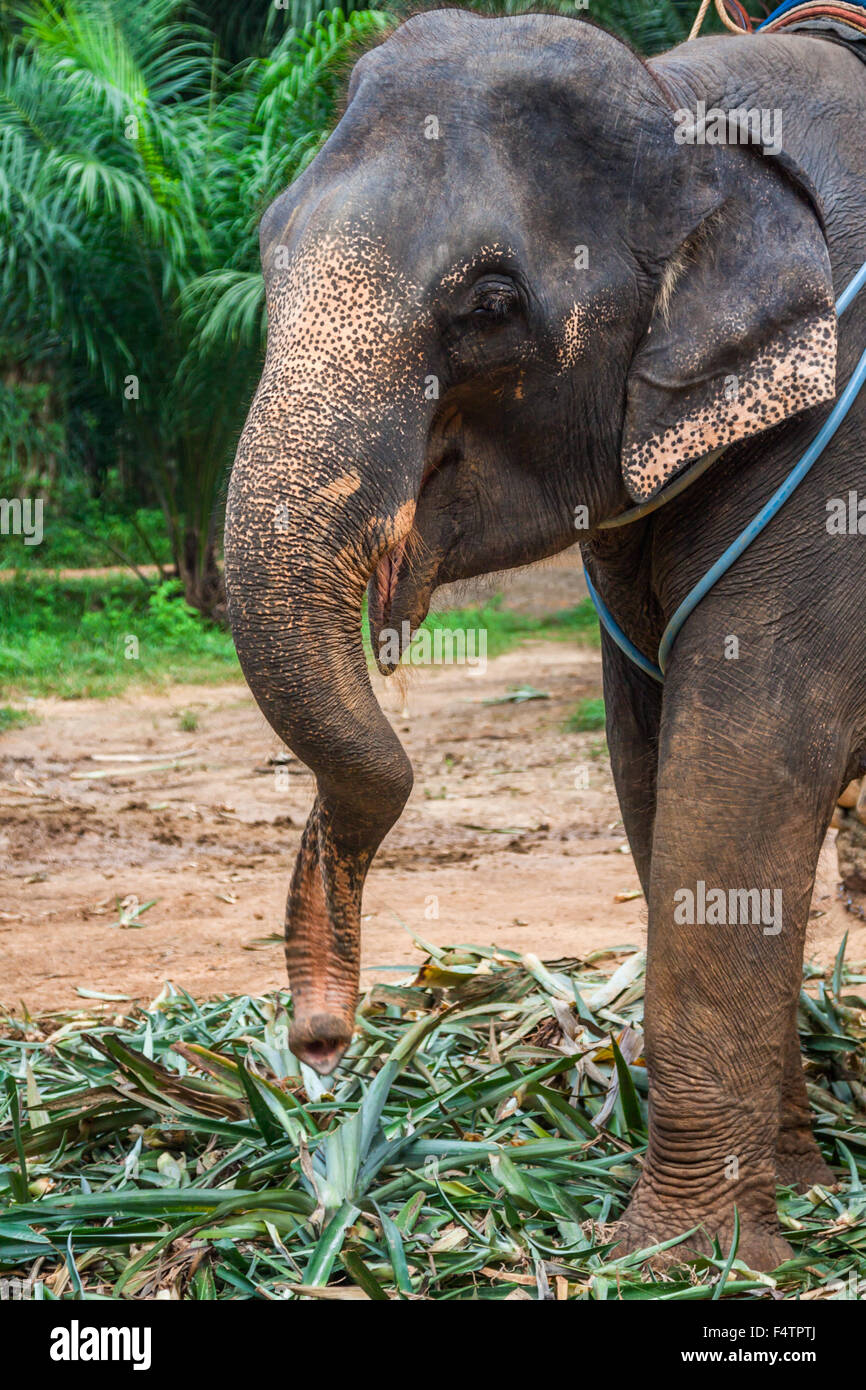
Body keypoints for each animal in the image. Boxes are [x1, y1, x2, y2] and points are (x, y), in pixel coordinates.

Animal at [225, 10, 866, 1273]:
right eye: (269, 249)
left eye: (486, 303)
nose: (318, 1040)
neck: (689, 104)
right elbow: (653, 775)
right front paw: (796, 1197)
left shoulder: (839, 462)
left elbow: (745, 768)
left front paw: (676, 1264)